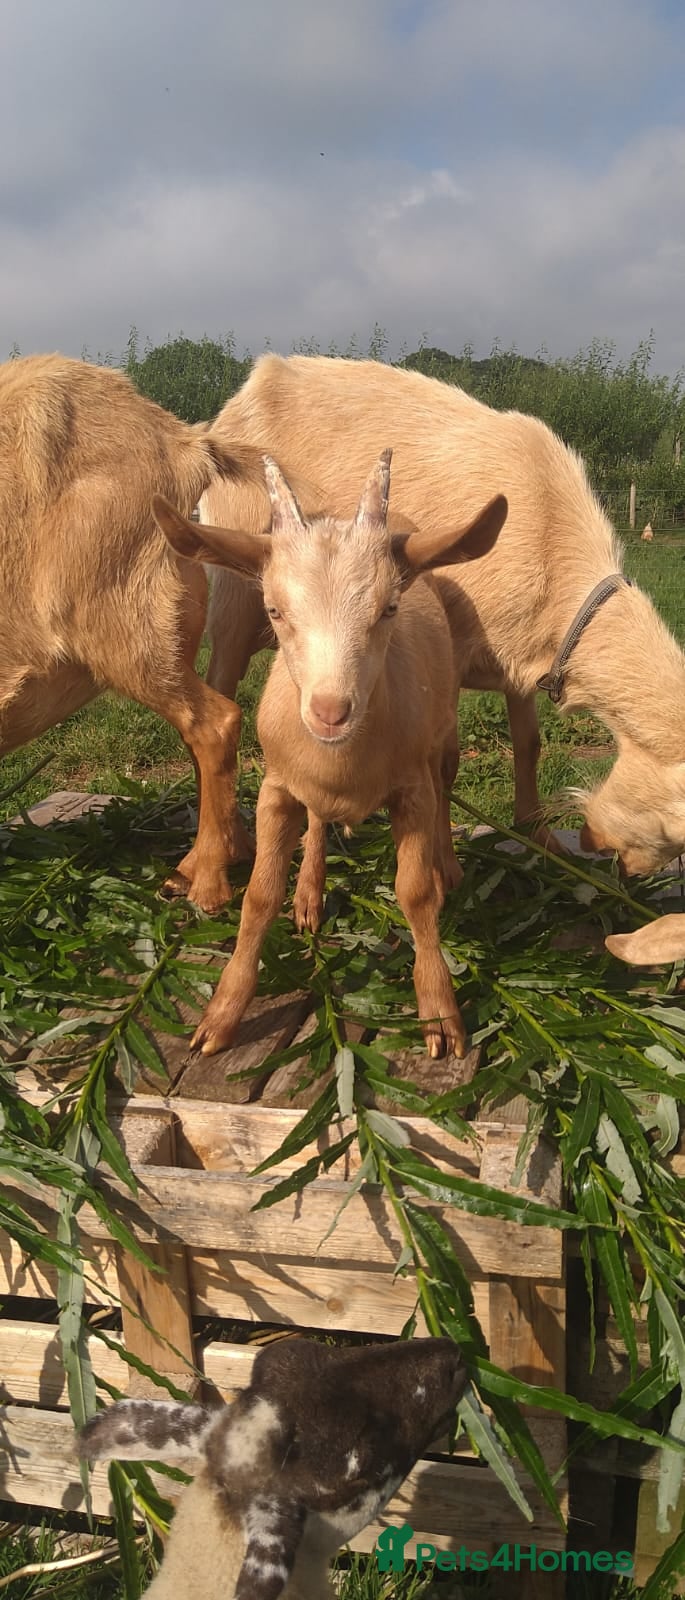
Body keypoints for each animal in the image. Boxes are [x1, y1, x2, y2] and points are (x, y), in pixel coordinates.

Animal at [152, 452, 506, 1058]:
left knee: (446, 786)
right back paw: (309, 894)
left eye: (389, 608)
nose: (330, 711)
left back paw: (448, 869)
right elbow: (258, 897)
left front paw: (439, 1013)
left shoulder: (411, 789)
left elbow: (415, 894)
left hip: (447, 733)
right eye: (273, 610)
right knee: (317, 823)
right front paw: (221, 1015)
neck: (344, 763)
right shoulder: (275, 787)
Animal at [201, 353, 685, 880]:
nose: (623, 865)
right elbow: (444, 760)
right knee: (218, 703)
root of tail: (248, 390)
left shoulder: (521, 659)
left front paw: (542, 842)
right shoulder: (451, 651)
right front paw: (447, 866)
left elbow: (529, 743)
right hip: (233, 594)